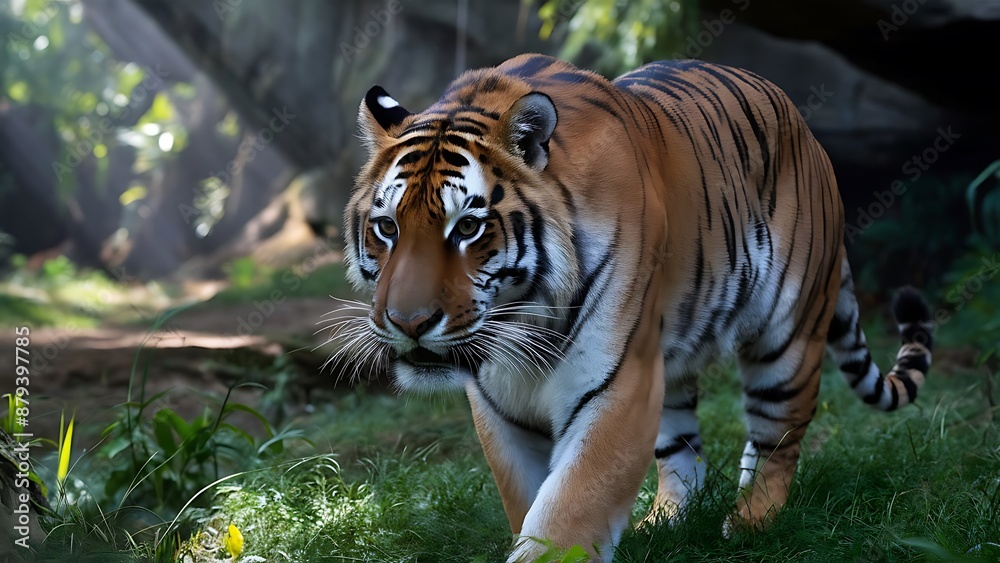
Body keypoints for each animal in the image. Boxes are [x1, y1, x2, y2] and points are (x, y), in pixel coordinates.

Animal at [339, 53, 934, 562]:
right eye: (387, 227)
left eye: (467, 227)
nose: (408, 323)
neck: (522, 321)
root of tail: (805, 130)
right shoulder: (499, 406)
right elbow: (527, 502)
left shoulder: (616, 385)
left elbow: (568, 511)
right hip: (668, 365)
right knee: (685, 452)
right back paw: (666, 523)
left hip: (787, 336)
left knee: (778, 439)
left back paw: (748, 523)